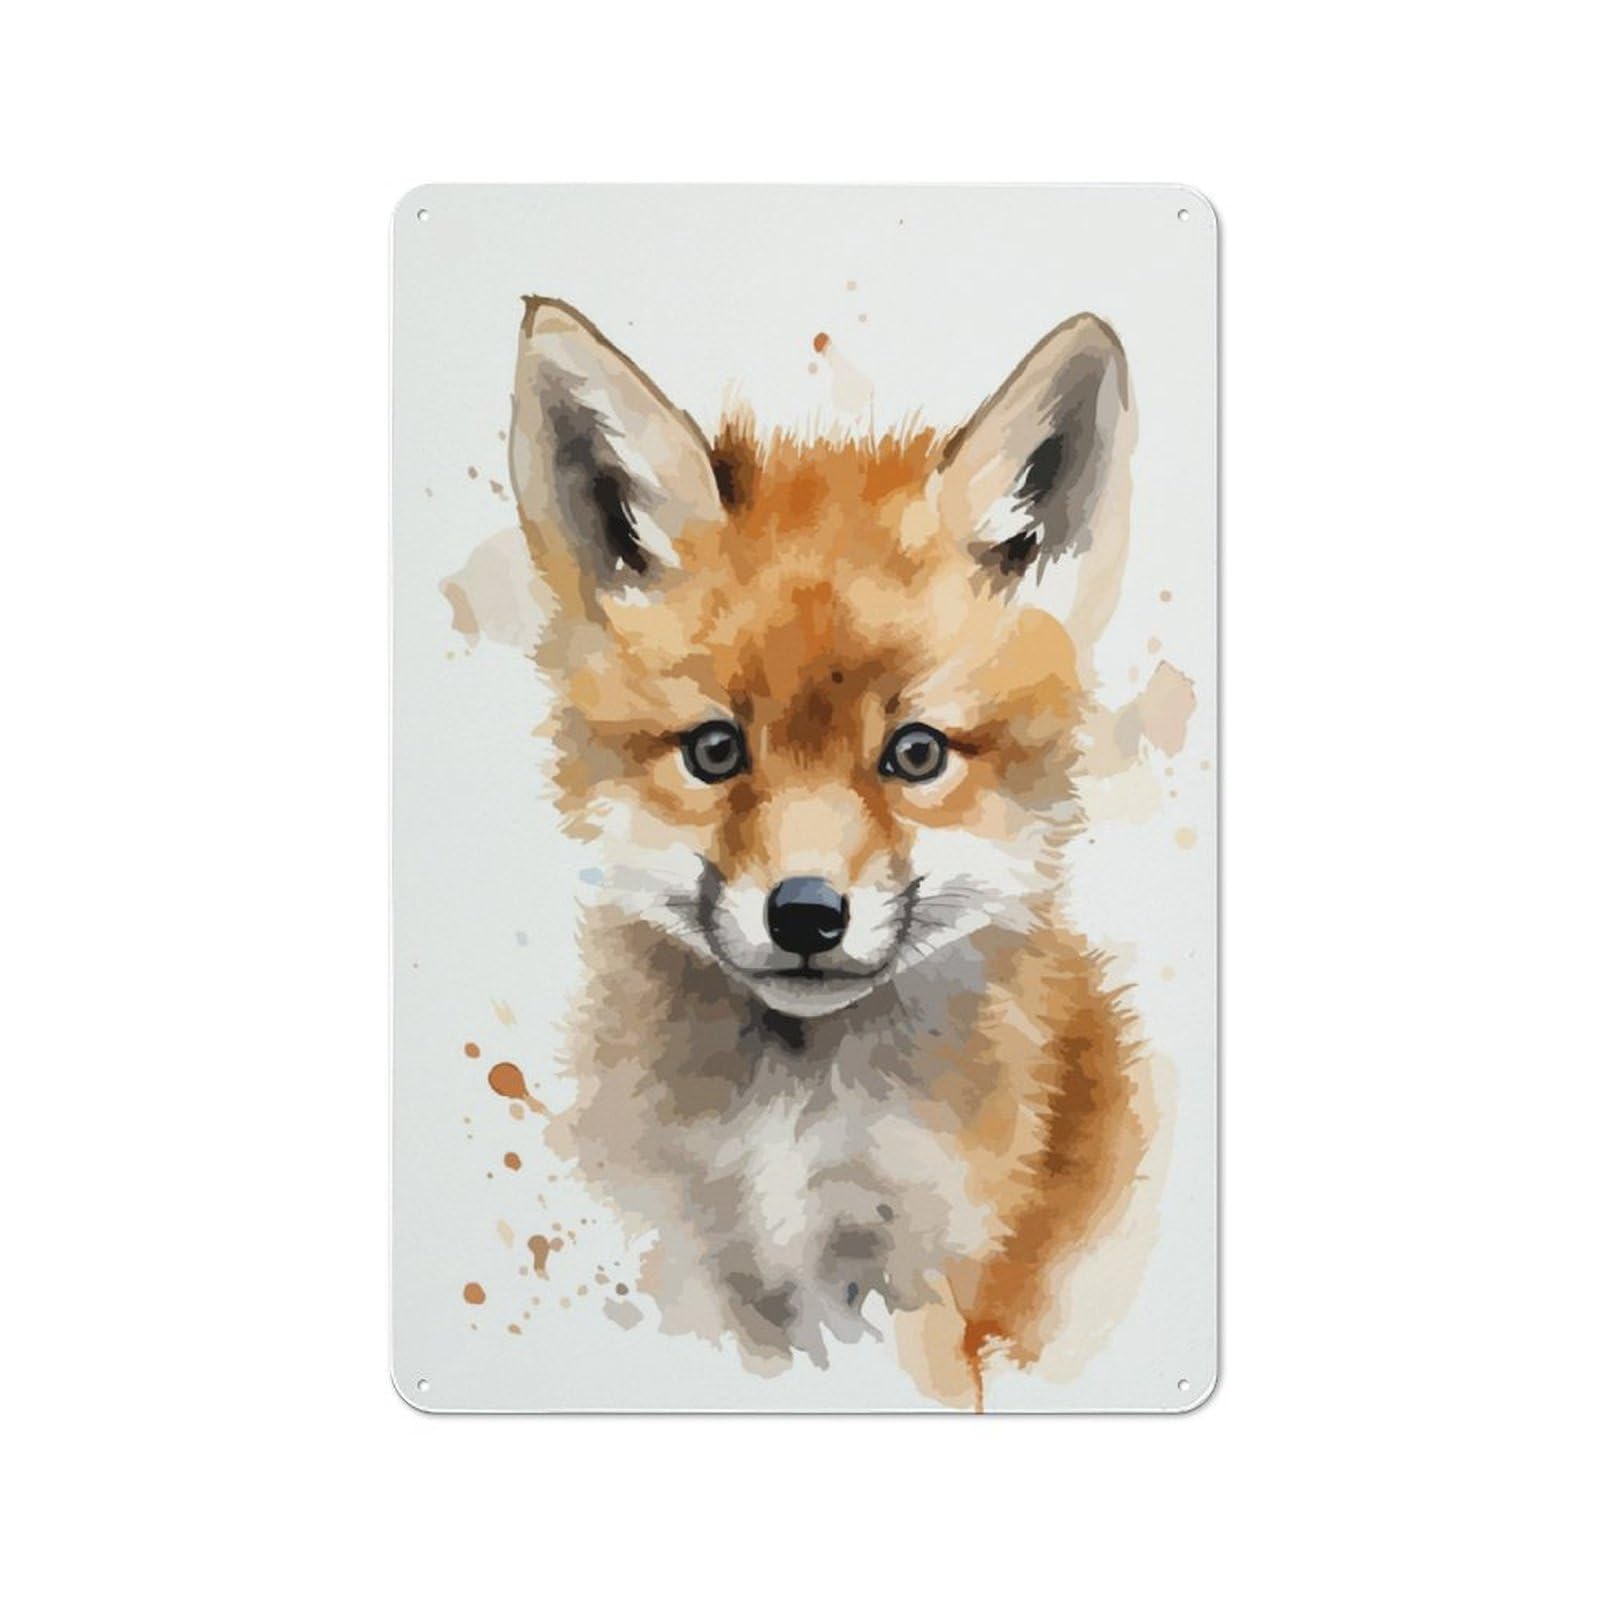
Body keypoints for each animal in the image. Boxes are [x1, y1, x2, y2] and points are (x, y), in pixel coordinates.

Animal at [505, 297, 1150, 1409]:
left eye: (916, 753)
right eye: (716, 750)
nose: (806, 913)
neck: (794, 1140)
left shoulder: (938, 1283)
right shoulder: (687, 1263)